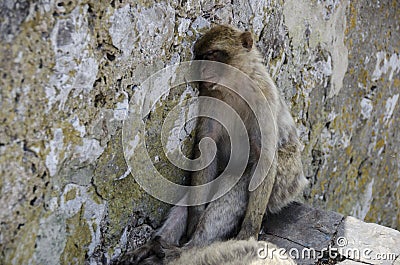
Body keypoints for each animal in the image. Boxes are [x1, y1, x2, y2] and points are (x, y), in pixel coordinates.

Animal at [115, 25, 306, 264]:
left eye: (213, 55)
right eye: (201, 57)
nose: (203, 70)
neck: (234, 87)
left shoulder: (263, 101)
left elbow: (265, 160)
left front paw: (248, 233)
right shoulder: (209, 97)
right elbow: (206, 151)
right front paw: (194, 219)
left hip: (285, 182)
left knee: (241, 182)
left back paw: (186, 250)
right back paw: (156, 245)